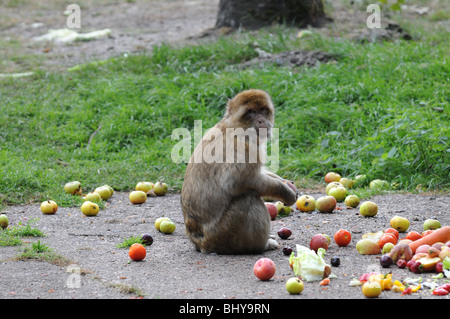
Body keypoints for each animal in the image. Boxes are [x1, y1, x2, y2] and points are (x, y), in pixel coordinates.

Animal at [181, 89, 298, 255]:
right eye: (251, 112)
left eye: (263, 110)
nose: (261, 120)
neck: (235, 126)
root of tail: (200, 244)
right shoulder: (243, 146)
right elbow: (241, 182)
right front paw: (284, 191)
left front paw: (287, 183)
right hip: (224, 234)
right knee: (248, 198)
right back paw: (261, 245)